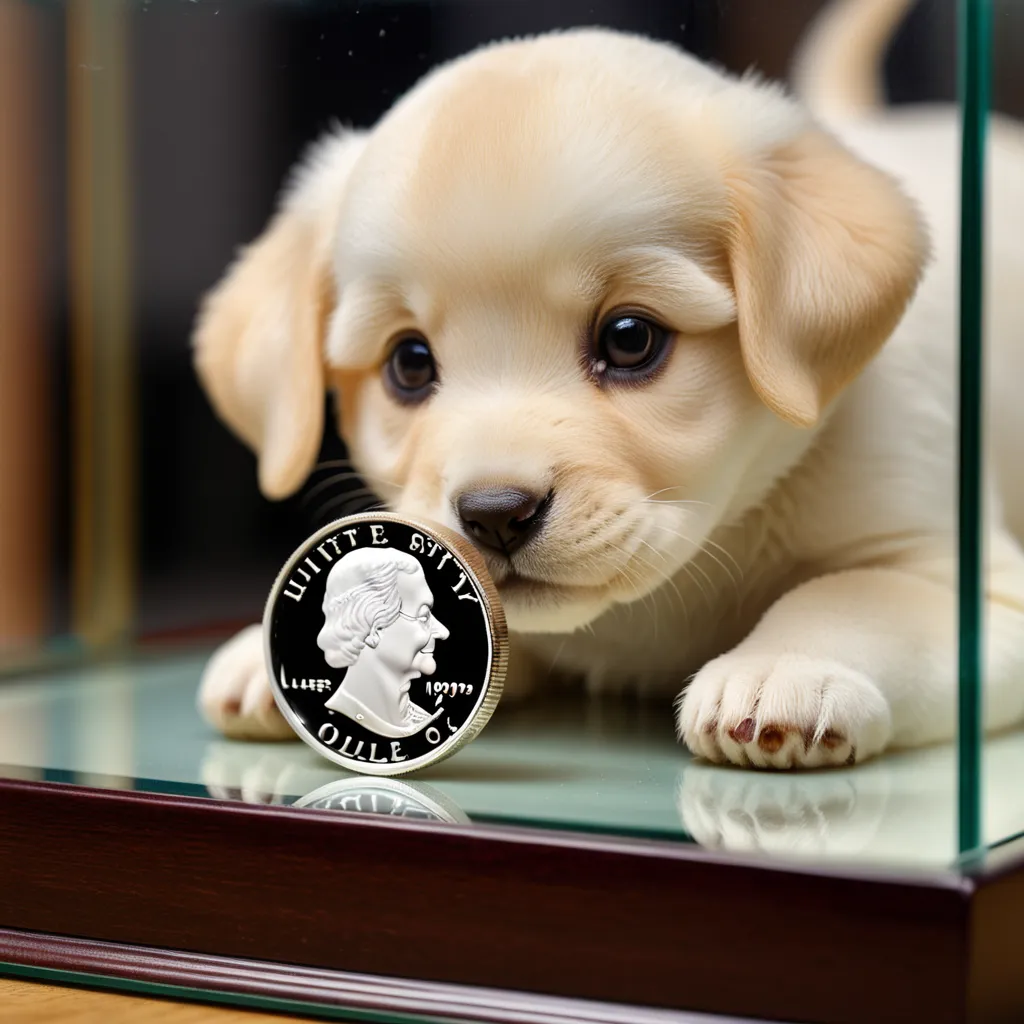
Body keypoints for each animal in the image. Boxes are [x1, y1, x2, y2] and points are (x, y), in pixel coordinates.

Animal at [192, 0, 1024, 770]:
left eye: (630, 340)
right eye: (410, 363)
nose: (495, 515)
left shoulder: (977, 587)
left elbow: (855, 594)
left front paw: (789, 666)